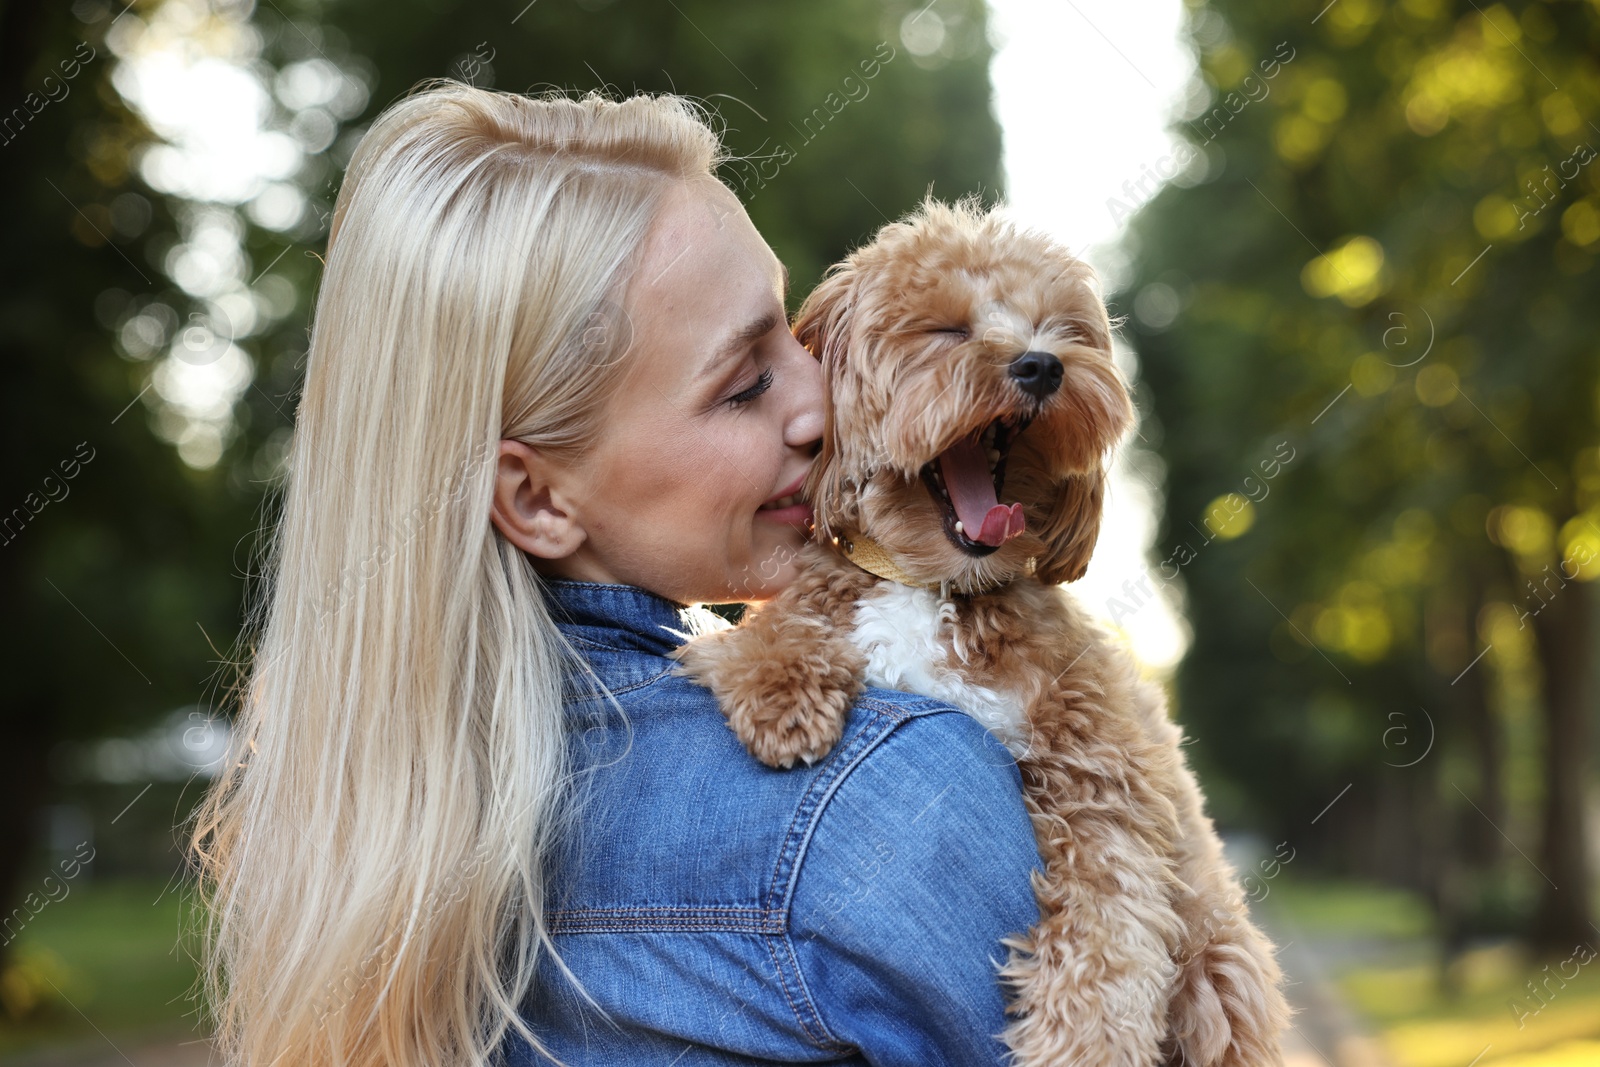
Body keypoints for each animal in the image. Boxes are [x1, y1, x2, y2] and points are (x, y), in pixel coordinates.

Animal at [668, 198, 1292, 1067]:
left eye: (1060, 328)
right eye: (946, 330)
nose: (1041, 366)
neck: (936, 587)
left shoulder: (1100, 775)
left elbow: (1106, 938)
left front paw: (1080, 1044)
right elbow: (778, 622)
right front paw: (780, 690)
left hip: (1221, 970)